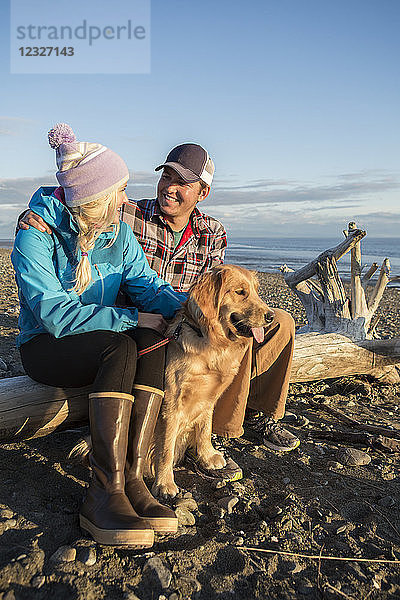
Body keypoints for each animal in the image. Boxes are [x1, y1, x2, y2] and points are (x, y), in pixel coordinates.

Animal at [150, 264, 276, 500]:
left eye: (256, 291)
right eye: (240, 292)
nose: (271, 316)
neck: (209, 341)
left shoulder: (208, 398)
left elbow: (205, 428)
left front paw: (207, 456)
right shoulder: (171, 403)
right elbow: (166, 447)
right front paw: (164, 483)